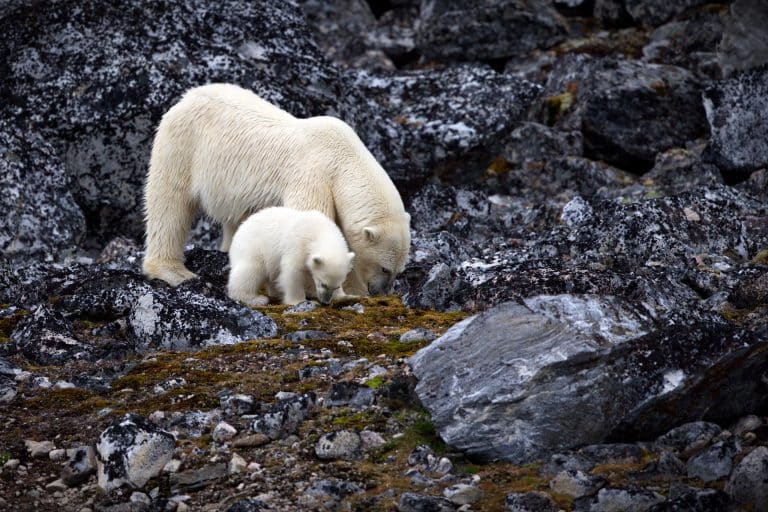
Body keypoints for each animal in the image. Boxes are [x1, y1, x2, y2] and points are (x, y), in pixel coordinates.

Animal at [142, 82, 412, 294]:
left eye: (399, 271)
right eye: (385, 268)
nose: (381, 292)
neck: (344, 158)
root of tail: (187, 96)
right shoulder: (313, 174)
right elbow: (311, 222)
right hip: (183, 146)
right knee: (169, 204)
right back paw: (173, 271)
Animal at [224, 207, 352, 306]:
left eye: (336, 286)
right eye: (323, 284)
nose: (325, 302)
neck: (319, 231)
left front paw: (343, 296)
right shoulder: (298, 244)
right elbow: (293, 272)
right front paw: (299, 301)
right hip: (254, 247)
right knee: (250, 271)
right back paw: (255, 299)